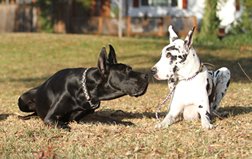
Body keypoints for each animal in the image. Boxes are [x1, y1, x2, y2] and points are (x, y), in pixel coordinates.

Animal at [18, 44, 149, 129]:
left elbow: (108, 119)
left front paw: (125, 123)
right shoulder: (51, 117)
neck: (85, 90)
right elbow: (56, 122)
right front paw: (64, 125)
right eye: (125, 70)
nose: (146, 75)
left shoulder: (86, 115)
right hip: (22, 100)